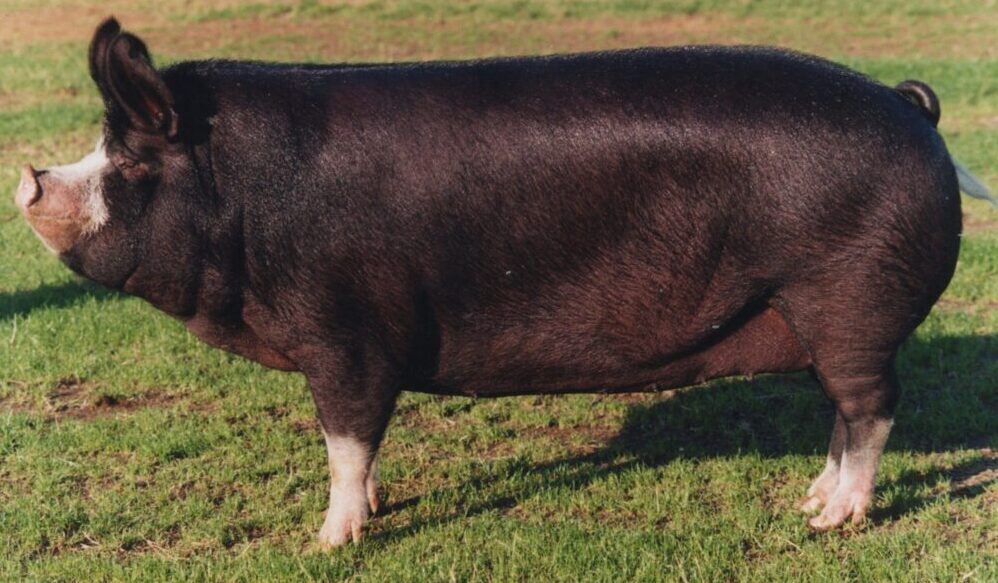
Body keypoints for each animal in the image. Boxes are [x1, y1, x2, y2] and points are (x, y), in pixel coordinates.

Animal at [16, 18, 995, 547]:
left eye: (132, 163)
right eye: (101, 150)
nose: (28, 178)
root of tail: (910, 106)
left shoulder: (344, 329)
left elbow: (345, 436)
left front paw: (327, 540)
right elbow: (360, 442)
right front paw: (375, 506)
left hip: (848, 298)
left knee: (871, 407)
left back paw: (832, 521)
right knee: (843, 409)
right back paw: (810, 500)